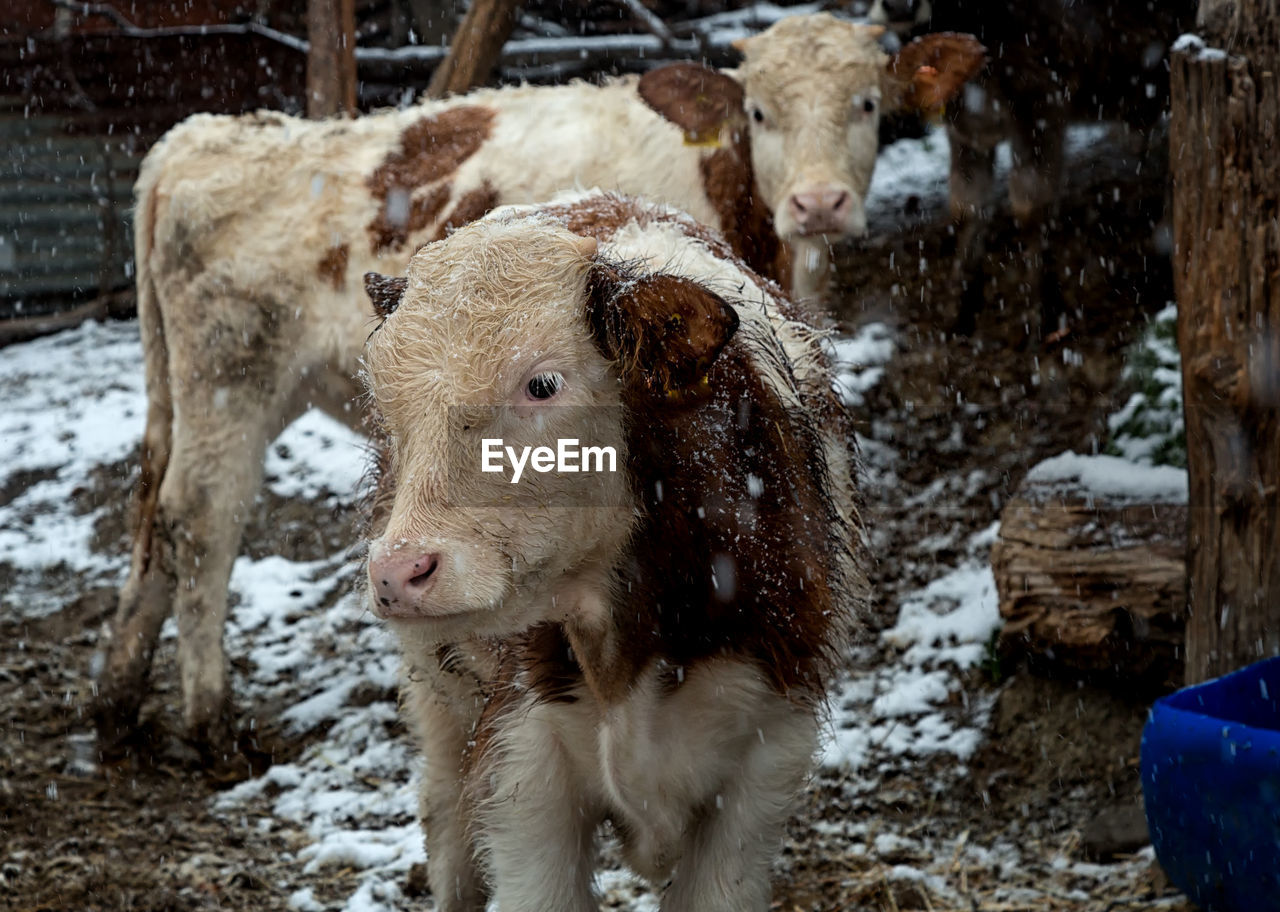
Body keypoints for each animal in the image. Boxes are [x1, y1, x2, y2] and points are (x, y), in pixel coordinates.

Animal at [94, 10, 977, 742]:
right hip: (231, 381)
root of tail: (198, 137)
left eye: (867, 104)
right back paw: (208, 720)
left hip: (175, 390)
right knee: (198, 520)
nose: (819, 203)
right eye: (759, 112)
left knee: (148, 510)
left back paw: (117, 698)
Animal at [358, 192, 870, 912]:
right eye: (387, 401)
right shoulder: (522, 778)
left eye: (543, 384)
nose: (399, 572)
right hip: (440, 694)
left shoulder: (764, 765)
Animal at [870, 0, 1198, 335]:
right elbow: (966, 208)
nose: (897, 7)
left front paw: (1043, 313)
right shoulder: (967, 129)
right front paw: (958, 309)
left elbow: (1030, 207)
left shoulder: (1038, 102)